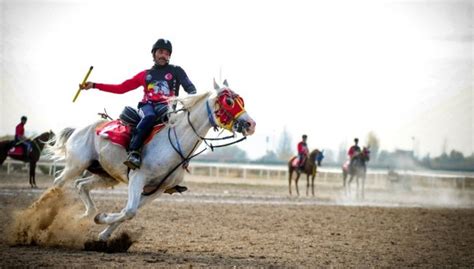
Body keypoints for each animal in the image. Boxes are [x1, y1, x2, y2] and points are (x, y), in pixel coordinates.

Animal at [47, 80, 256, 240]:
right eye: (228, 101)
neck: (172, 144)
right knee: (59, 182)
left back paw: (84, 215)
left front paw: (103, 232)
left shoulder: (157, 190)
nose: (251, 124)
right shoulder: (138, 178)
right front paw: (102, 218)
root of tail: (79, 129)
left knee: (81, 185)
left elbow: (128, 212)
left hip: (106, 175)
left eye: (241, 100)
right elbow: (129, 211)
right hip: (76, 165)